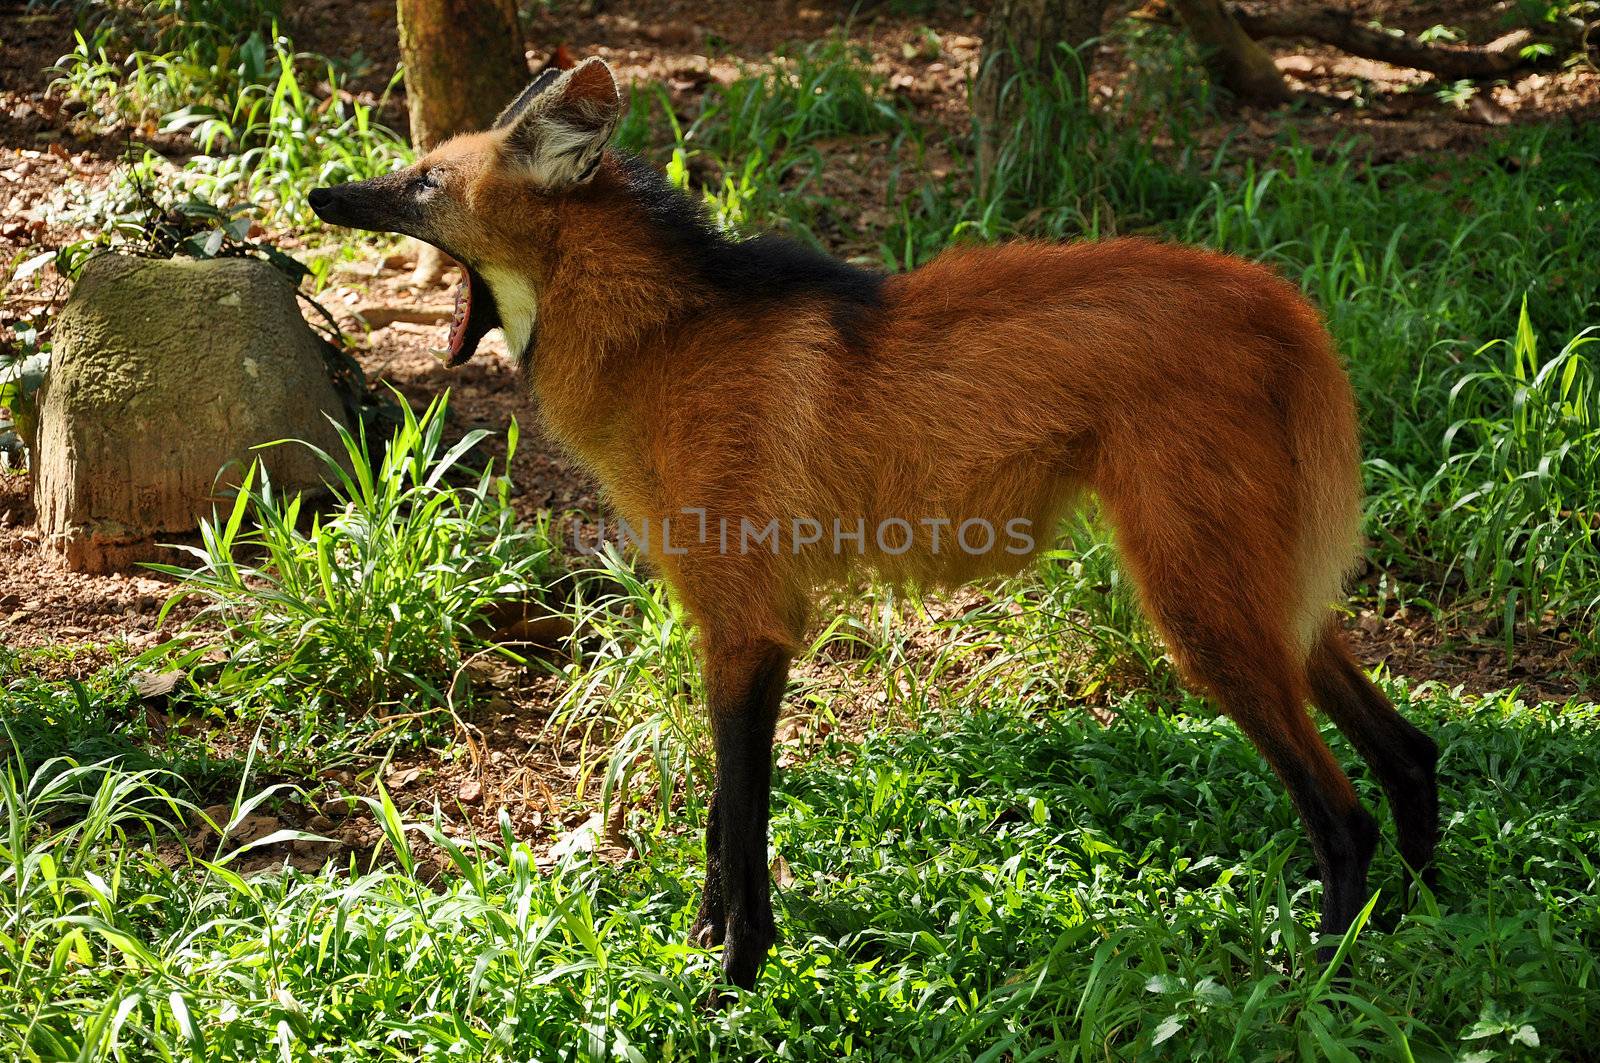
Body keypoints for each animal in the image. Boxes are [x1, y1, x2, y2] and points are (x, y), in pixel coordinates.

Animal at [308, 56, 1440, 986]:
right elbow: (723, 813)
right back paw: (1429, 918)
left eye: (422, 182)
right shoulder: (738, 618)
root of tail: (1281, 301)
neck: (663, 335)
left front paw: (735, 977)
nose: (323, 192)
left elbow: (740, 814)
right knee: (1407, 747)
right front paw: (700, 947)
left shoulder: (748, 620)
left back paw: (1323, 969)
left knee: (1341, 813)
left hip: (1195, 602)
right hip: (1250, 575)